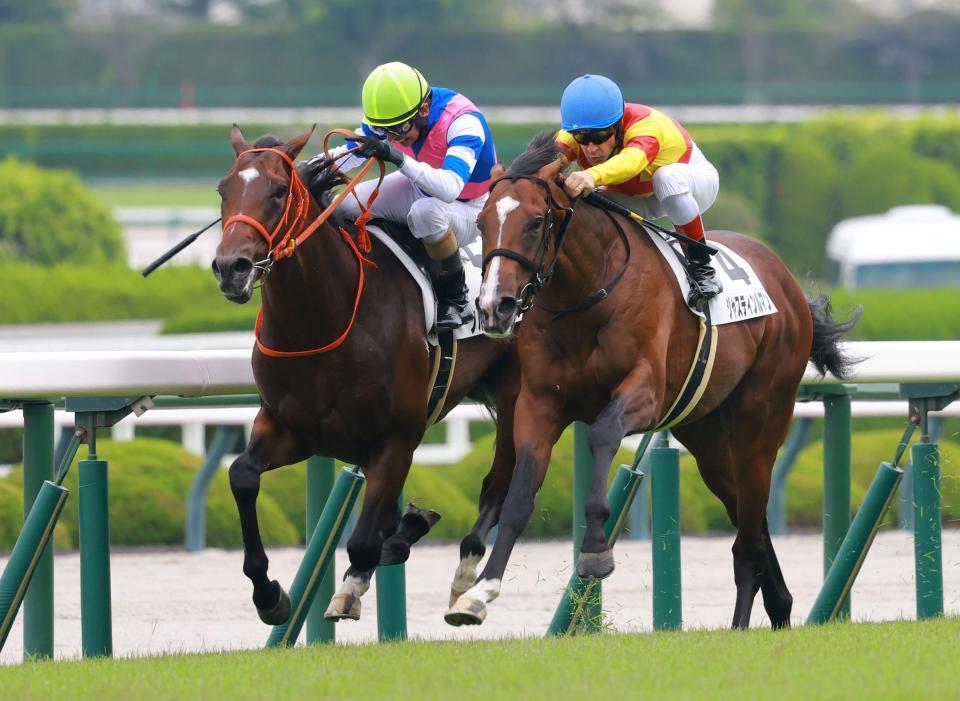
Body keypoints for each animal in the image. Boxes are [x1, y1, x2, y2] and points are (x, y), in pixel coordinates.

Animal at [213, 125, 520, 624]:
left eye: (278, 191)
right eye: (224, 190)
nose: (230, 268)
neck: (326, 319)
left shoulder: (396, 439)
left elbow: (360, 541)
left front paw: (349, 589)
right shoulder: (292, 429)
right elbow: (242, 475)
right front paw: (270, 594)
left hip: (519, 395)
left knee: (500, 482)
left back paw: (464, 573)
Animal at [446, 131, 859, 629]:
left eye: (536, 221)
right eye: (483, 222)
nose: (495, 307)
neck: (587, 294)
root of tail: (787, 282)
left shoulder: (644, 390)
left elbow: (603, 434)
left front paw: (595, 550)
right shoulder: (538, 403)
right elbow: (518, 493)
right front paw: (480, 591)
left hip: (762, 420)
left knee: (748, 533)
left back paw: (743, 625)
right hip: (707, 436)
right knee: (749, 516)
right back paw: (779, 606)